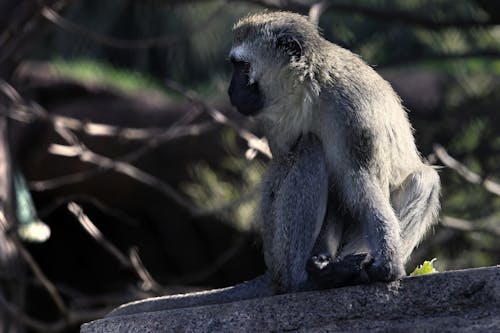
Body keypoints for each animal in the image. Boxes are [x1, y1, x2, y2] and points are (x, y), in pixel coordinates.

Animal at [104, 11, 438, 316]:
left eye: (241, 66)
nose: (230, 90)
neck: (311, 86)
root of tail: (274, 270)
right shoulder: (277, 120)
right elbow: (301, 171)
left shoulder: (354, 112)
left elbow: (362, 185)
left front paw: (389, 264)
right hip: (280, 248)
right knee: (310, 151)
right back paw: (304, 279)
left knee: (423, 181)